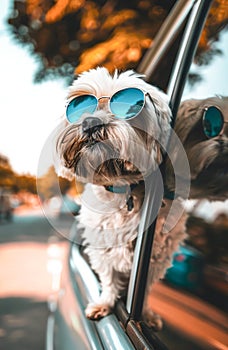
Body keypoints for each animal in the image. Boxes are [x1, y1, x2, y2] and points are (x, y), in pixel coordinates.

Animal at [55, 66, 187, 330]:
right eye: (79, 106)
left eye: (131, 109)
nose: (90, 122)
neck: (124, 189)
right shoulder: (103, 250)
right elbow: (109, 279)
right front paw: (104, 303)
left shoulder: (156, 258)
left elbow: (145, 288)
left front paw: (145, 315)